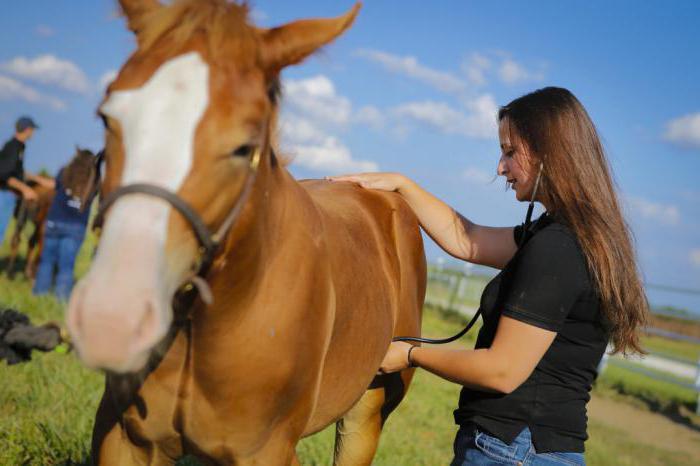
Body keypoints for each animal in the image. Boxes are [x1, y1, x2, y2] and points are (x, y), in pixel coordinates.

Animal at [67, 1, 426, 464]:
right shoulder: (125, 438)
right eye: (107, 117)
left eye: (243, 146)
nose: (111, 321)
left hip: (366, 415)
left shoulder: (267, 451)